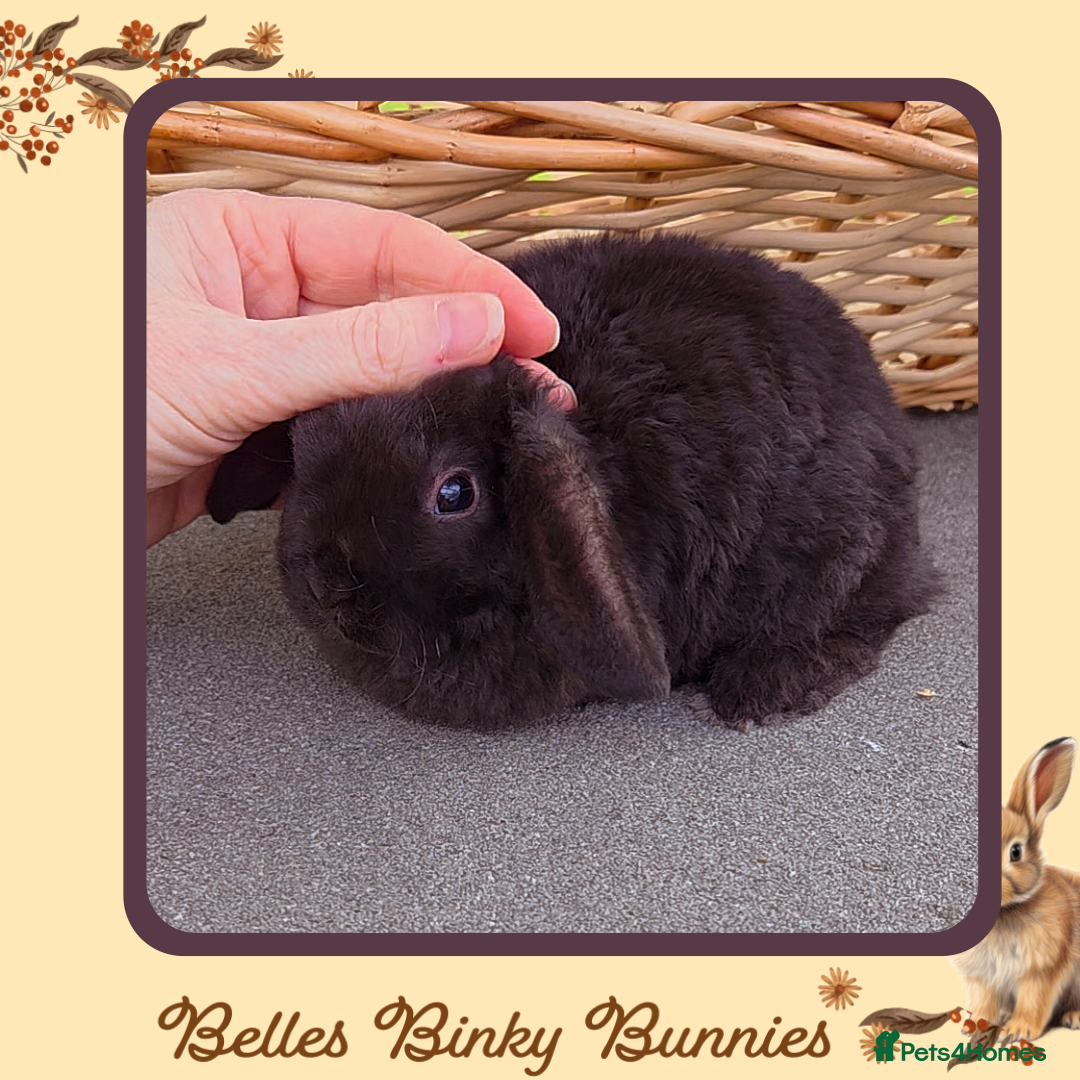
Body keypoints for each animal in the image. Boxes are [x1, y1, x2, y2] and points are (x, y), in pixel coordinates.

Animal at [207, 231, 937, 728]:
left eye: (454, 494)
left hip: (836, 560)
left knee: (875, 617)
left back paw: (761, 690)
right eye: (306, 441)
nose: (326, 586)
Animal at [951, 737, 1080, 1041]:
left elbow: (1034, 1000)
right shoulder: (983, 977)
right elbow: (983, 1001)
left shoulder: (1041, 971)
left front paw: (1017, 1032)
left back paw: (1073, 1018)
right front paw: (973, 1027)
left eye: (1016, 851)